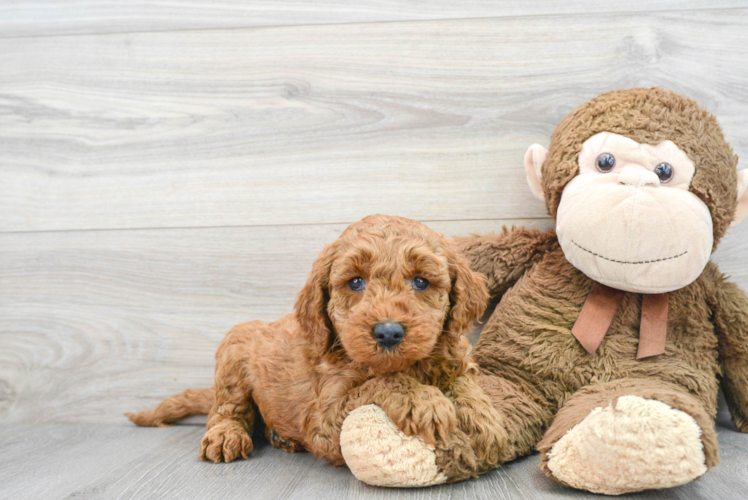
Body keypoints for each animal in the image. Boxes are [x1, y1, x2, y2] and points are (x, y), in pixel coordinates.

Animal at [129, 214, 506, 484]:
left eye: (421, 281)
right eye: (356, 282)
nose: (387, 332)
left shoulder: (453, 355)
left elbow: (463, 381)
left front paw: (483, 419)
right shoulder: (324, 417)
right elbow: (381, 383)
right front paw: (425, 401)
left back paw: (281, 438)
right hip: (235, 347)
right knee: (228, 408)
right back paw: (226, 436)